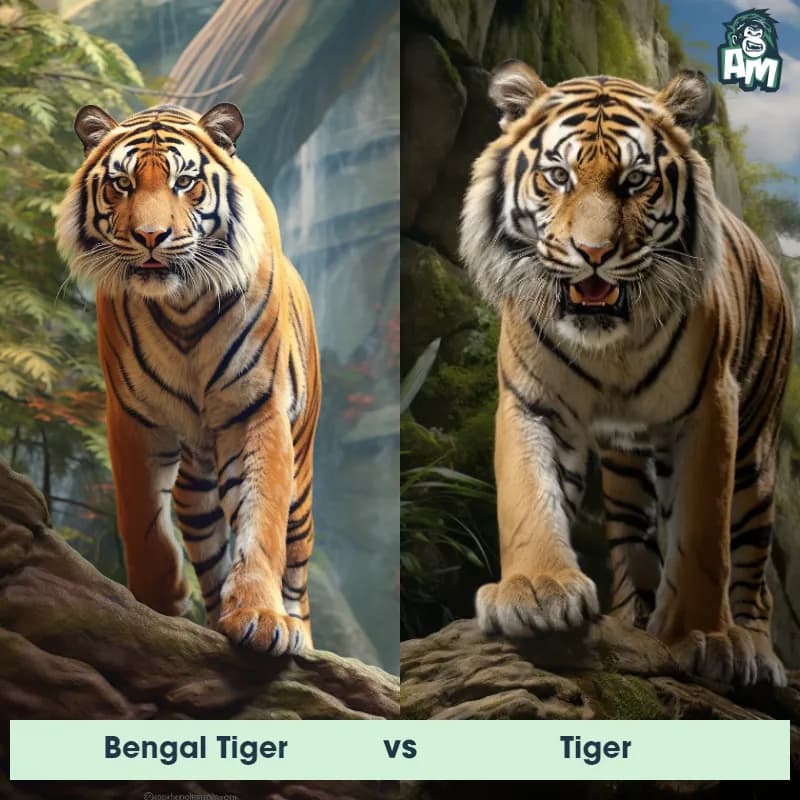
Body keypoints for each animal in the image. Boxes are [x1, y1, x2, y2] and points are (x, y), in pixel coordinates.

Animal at [55, 102, 321, 655]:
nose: (151, 237)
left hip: (302, 480)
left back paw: (299, 632)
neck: (182, 305)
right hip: (196, 489)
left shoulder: (257, 410)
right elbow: (141, 518)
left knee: (296, 564)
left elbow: (260, 521)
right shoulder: (133, 417)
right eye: (122, 184)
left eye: (185, 182)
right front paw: (158, 604)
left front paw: (261, 618)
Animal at [460, 62, 792, 686]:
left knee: (753, 565)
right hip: (626, 470)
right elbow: (527, 496)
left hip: (756, 457)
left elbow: (703, 534)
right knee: (634, 545)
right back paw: (633, 620)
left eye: (636, 181)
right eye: (558, 176)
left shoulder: (710, 407)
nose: (592, 253)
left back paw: (756, 650)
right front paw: (535, 591)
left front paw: (703, 635)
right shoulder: (533, 401)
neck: (607, 345)